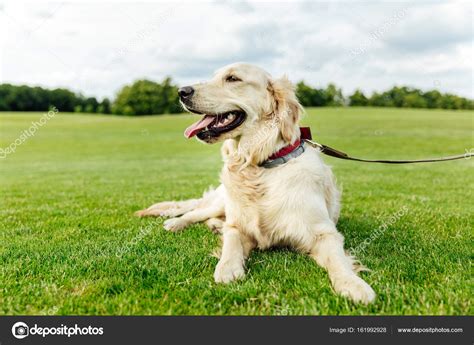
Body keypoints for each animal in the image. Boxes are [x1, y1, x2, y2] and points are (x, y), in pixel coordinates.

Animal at [138, 63, 378, 302]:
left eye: (232, 78)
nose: (181, 91)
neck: (259, 165)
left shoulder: (323, 232)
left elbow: (338, 260)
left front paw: (353, 284)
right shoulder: (238, 225)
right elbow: (232, 242)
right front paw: (227, 268)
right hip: (222, 200)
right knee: (195, 212)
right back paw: (176, 223)